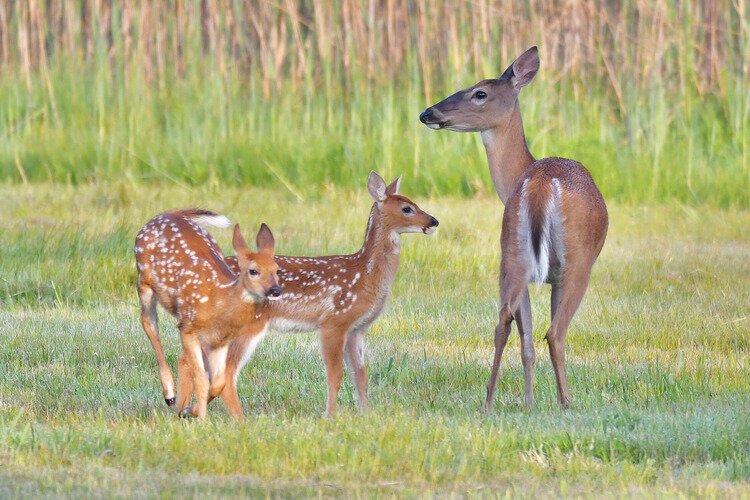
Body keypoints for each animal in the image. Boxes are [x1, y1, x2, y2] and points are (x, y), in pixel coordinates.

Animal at [134, 209, 281, 419]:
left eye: (277, 270)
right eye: (253, 271)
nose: (275, 290)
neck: (218, 302)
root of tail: (167, 213)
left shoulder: (220, 341)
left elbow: (218, 383)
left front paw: (189, 410)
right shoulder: (188, 329)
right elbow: (202, 380)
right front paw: (202, 420)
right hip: (144, 281)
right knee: (149, 324)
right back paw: (169, 395)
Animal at [204, 171, 439, 418]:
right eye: (407, 208)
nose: (433, 221)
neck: (364, 275)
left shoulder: (357, 329)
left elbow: (361, 374)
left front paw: (366, 414)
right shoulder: (334, 321)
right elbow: (335, 375)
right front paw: (329, 417)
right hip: (246, 325)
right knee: (226, 372)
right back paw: (238, 418)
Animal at [420, 46, 608, 409]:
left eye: (479, 92)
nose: (427, 113)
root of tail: (539, 183)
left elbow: (526, 341)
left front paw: (530, 401)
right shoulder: (557, 275)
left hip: (511, 252)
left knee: (504, 323)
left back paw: (489, 402)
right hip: (577, 261)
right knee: (556, 333)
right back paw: (567, 403)